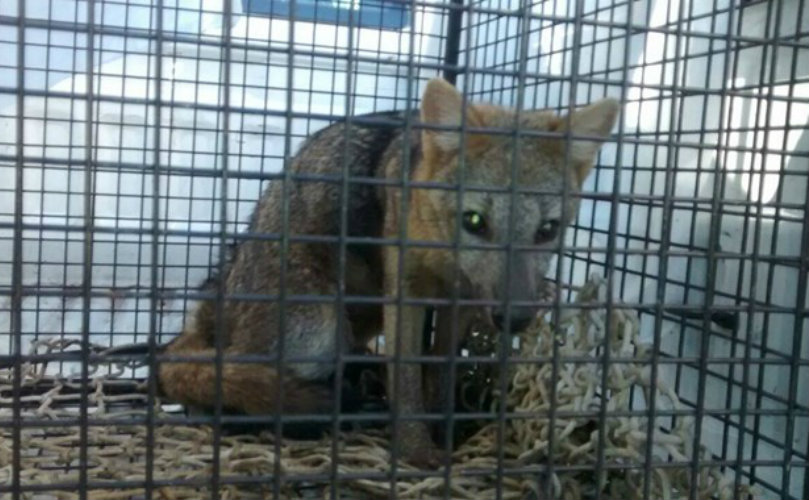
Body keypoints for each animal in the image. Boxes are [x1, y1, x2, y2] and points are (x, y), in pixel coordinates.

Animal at [158, 77, 620, 464]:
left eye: (547, 230)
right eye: (475, 222)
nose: (516, 318)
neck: (443, 260)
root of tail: (217, 297)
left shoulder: (461, 302)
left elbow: (439, 373)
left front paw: (443, 430)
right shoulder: (405, 293)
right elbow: (409, 379)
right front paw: (417, 451)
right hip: (319, 327)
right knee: (234, 382)